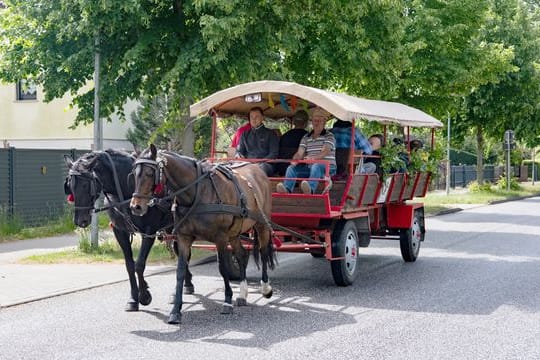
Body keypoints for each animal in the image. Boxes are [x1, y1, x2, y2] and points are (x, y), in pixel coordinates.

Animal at [63, 150, 194, 312]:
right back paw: (186, 285)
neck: (128, 190)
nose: (80, 221)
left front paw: (144, 295)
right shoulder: (120, 231)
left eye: (87, 184)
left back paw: (183, 288)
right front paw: (133, 299)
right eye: (70, 185)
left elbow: (139, 265)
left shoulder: (148, 232)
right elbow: (129, 266)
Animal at [130, 145, 274, 324]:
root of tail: (258, 170)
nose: (135, 207)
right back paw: (242, 293)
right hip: (235, 232)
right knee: (241, 255)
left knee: (263, 252)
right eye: (134, 173)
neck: (198, 192)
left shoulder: (220, 237)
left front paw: (227, 301)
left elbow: (222, 268)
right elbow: (180, 271)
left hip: (262, 224)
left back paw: (265, 288)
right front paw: (175, 311)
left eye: (150, 173)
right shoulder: (183, 237)